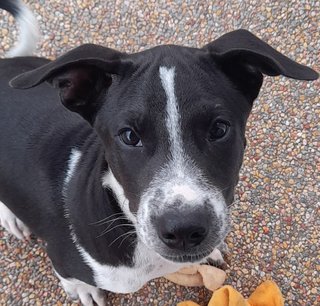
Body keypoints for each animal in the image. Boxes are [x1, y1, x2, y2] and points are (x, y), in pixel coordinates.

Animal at [0, 0, 318, 306]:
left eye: (219, 129)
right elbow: (69, 277)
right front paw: (82, 290)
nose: (184, 231)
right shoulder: (62, 257)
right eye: (129, 136)